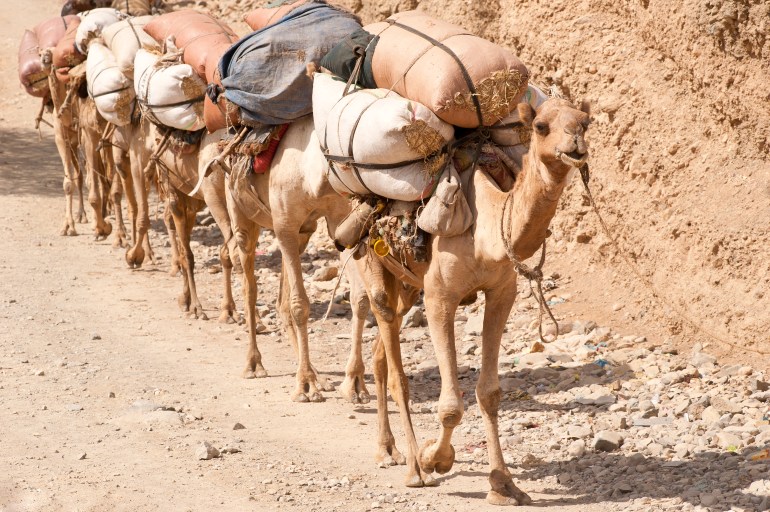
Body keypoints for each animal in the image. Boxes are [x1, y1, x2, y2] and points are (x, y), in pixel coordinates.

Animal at [354, 98, 590, 505]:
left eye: (586, 122)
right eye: (541, 126)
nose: (575, 141)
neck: (486, 230)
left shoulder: (502, 292)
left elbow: (490, 393)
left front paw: (504, 484)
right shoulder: (439, 297)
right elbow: (450, 405)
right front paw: (435, 459)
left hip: (408, 284)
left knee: (382, 352)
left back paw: (387, 449)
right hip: (371, 261)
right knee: (396, 365)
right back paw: (413, 467)